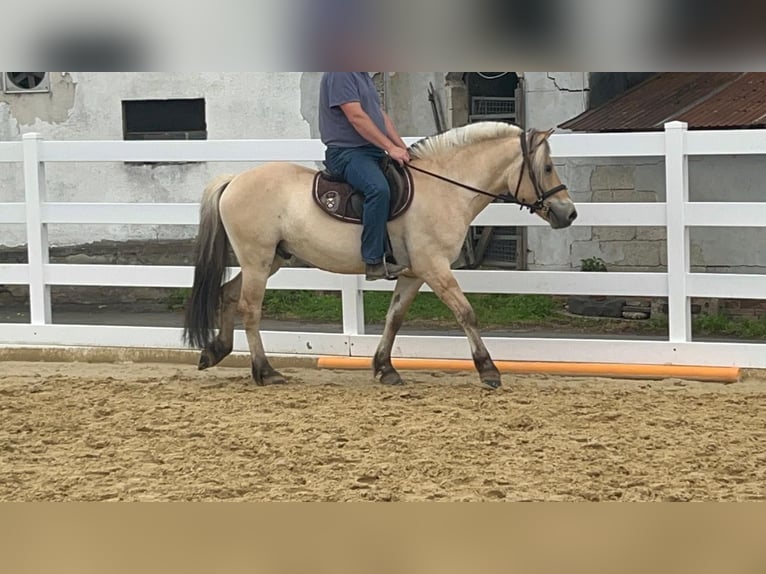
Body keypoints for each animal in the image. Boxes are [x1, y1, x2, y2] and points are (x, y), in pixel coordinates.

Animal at [183, 122, 577, 389]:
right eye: (546, 168)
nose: (569, 213)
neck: (443, 187)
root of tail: (234, 180)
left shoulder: (414, 273)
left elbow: (394, 317)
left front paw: (385, 368)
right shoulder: (435, 268)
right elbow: (466, 313)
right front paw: (488, 370)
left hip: (272, 260)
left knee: (228, 295)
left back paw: (215, 351)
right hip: (258, 259)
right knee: (250, 308)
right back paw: (265, 371)